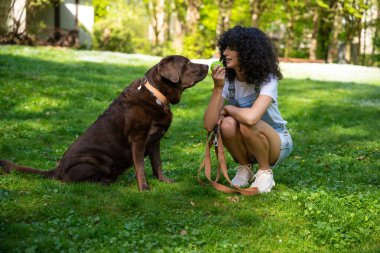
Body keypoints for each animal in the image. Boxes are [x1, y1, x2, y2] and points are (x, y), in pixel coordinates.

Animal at [0, 54, 208, 190]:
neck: (156, 95)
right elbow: (140, 166)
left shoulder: (155, 141)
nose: (207, 66)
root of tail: (56, 169)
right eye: (187, 63)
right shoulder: (138, 139)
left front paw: (164, 181)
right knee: (72, 181)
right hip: (94, 160)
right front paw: (144, 188)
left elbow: (158, 164)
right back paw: (104, 181)